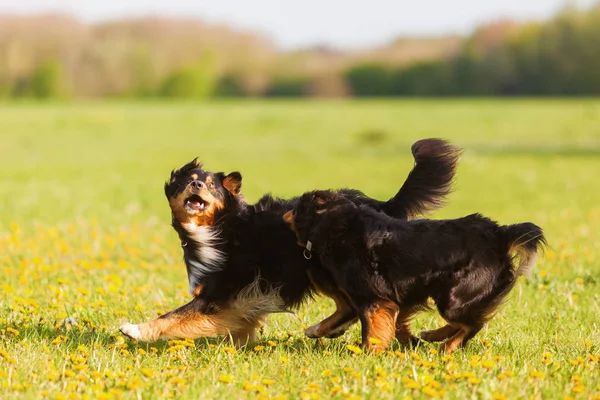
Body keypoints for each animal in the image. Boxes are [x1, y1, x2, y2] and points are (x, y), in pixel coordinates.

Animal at [119, 139, 462, 346]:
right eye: (186, 182)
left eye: (212, 186)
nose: (197, 185)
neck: (221, 227)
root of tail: (379, 204)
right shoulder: (237, 301)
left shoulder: (219, 292)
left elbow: (173, 316)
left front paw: (135, 329)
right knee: (349, 306)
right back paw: (323, 329)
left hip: (326, 265)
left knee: (359, 303)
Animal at [284, 191, 548, 354]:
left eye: (297, 206)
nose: (284, 210)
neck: (336, 224)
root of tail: (499, 234)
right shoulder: (401, 294)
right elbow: (397, 324)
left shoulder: (373, 298)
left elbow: (372, 330)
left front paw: (369, 354)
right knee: (468, 321)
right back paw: (433, 335)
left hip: (454, 298)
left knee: (473, 324)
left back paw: (446, 347)